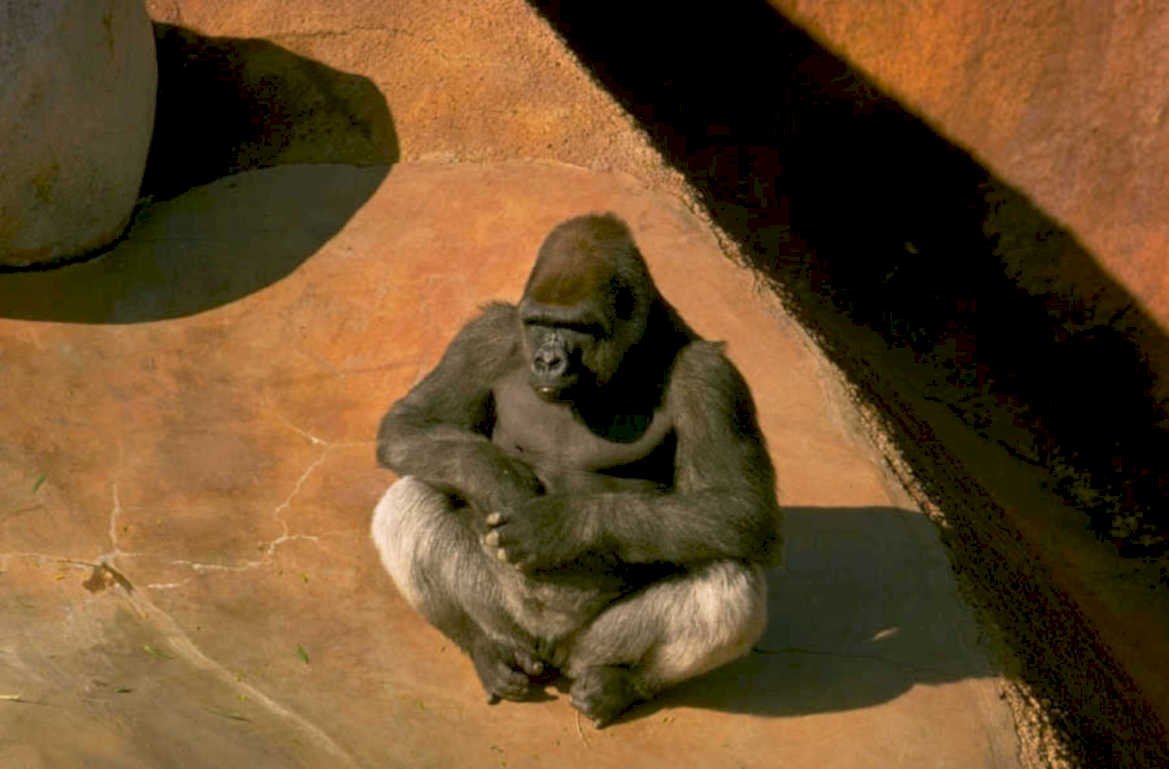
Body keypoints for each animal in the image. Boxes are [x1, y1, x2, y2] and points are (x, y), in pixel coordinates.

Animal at [371, 213, 781, 727]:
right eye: (539, 323)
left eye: (577, 328)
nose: (548, 359)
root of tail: (550, 652)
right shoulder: (487, 335)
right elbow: (411, 423)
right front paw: (497, 480)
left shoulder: (709, 377)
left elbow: (739, 506)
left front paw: (560, 525)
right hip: (509, 620)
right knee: (415, 495)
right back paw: (484, 646)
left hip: (589, 648)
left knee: (727, 576)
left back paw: (621, 683)